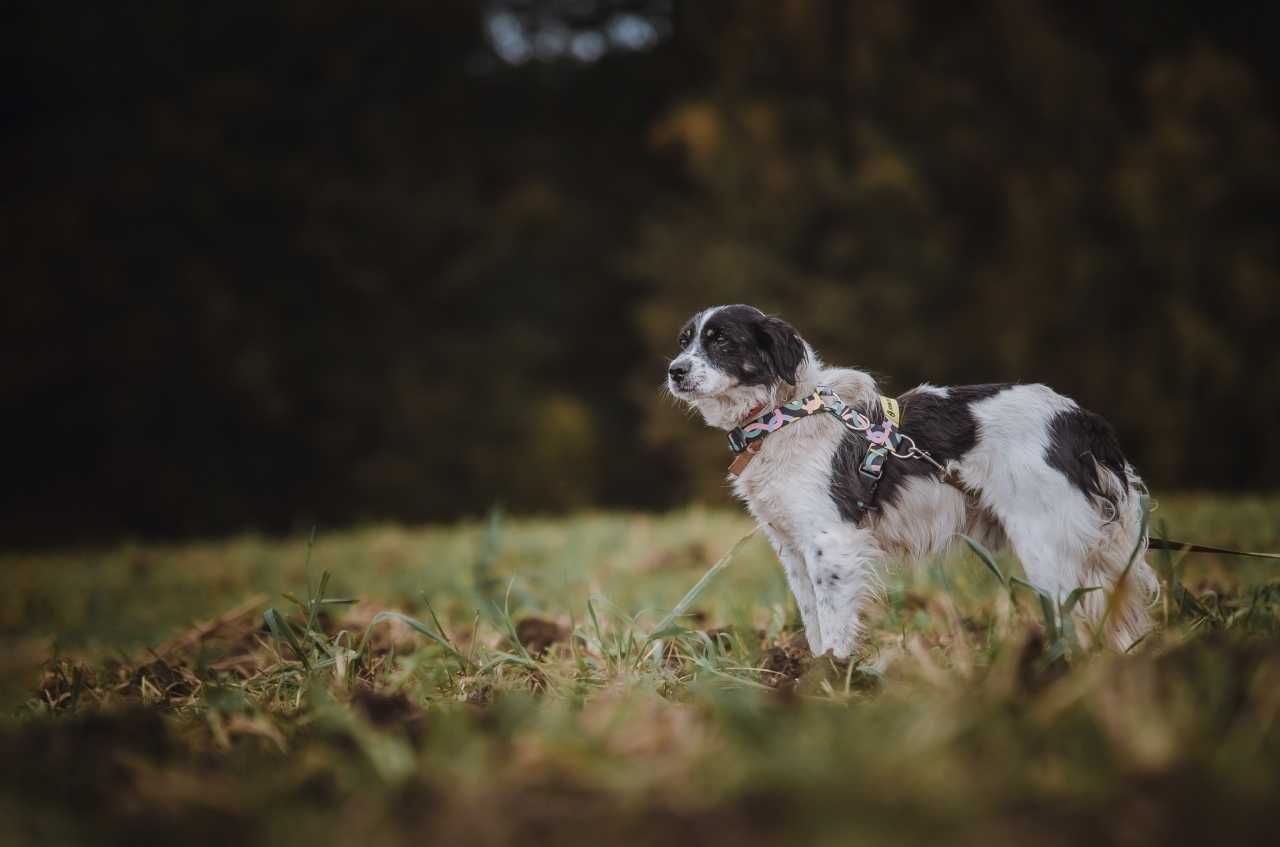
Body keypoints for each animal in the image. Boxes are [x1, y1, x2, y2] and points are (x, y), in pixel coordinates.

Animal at [670, 301, 1162, 660]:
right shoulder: (793, 549)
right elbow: (812, 621)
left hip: (1046, 546)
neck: (784, 415)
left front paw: (833, 678)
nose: (674, 370)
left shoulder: (833, 542)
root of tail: (1079, 418)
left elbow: (834, 624)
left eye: (722, 341)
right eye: (685, 340)